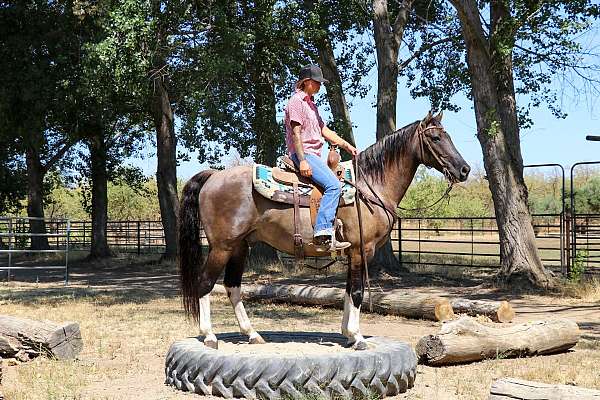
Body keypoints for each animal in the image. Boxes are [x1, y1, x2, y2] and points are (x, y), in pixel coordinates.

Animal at [177, 110, 468, 350]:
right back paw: (210, 336)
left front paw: (348, 334)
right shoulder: (362, 250)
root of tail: (213, 176)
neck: (370, 185)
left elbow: (349, 291)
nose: (464, 170)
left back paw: (252, 334)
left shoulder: (352, 252)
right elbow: (358, 292)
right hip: (222, 246)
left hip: (240, 246)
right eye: (435, 137)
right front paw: (358, 337)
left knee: (232, 286)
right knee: (205, 283)